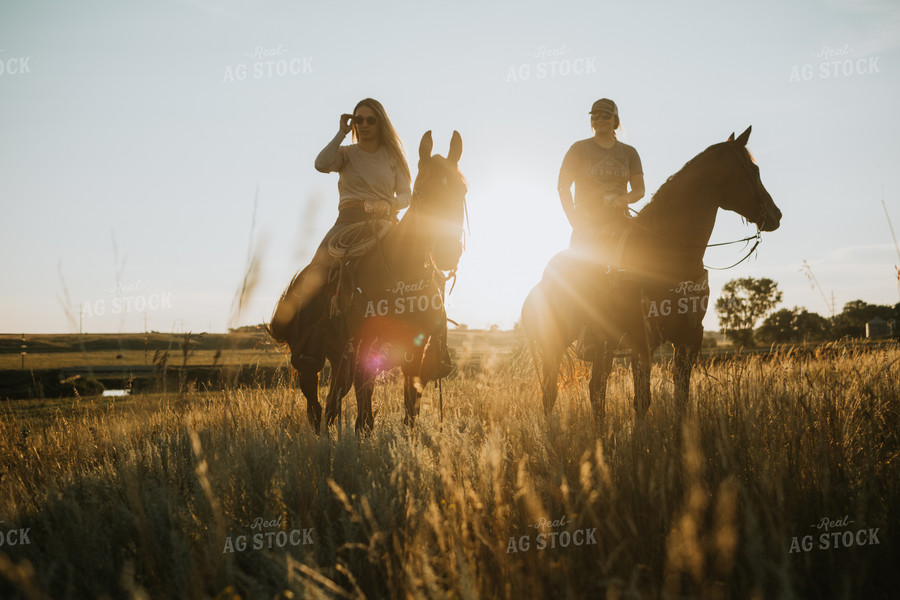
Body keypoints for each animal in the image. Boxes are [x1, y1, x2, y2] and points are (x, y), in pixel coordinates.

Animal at [276, 131, 468, 434]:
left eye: (462, 191)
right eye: (421, 192)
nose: (447, 252)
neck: (401, 275)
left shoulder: (416, 345)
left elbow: (410, 403)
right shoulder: (363, 343)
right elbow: (360, 395)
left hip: (340, 354)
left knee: (338, 396)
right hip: (311, 360)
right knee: (316, 403)